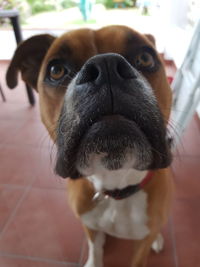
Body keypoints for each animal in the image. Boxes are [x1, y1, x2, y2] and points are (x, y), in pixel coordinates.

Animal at [6, 25, 173, 267]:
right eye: (56, 70)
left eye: (145, 58)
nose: (106, 66)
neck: (115, 187)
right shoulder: (88, 225)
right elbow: (95, 248)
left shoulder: (141, 244)